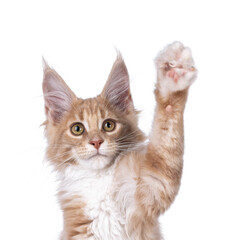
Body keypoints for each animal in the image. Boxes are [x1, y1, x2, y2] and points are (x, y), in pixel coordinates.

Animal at [42, 42, 197, 239]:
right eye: (77, 129)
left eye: (108, 125)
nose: (96, 142)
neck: (99, 180)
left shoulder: (153, 187)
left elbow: (167, 129)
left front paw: (172, 77)